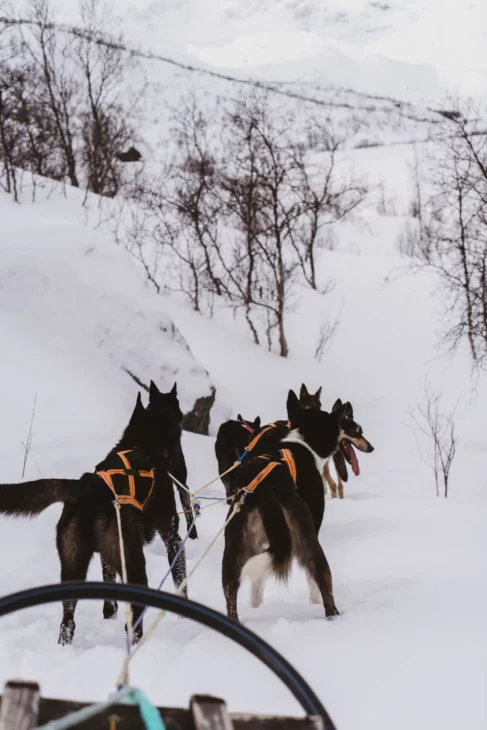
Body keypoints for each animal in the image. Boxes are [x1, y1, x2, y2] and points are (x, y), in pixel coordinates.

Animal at [0, 392, 187, 644]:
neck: (141, 444)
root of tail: (88, 485)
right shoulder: (173, 537)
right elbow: (181, 581)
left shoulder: (106, 557)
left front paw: (109, 615)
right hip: (133, 562)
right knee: (134, 618)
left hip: (72, 564)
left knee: (67, 622)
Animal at [221, 390, 374, 616]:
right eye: (357, 430)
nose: (371, 447)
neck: (302, 445)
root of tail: (264, 489)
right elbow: (312, 581)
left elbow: (257, 584)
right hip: (306, 536)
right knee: (323, 580)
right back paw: (333, 615)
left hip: (233, 549)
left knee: (232, 592)